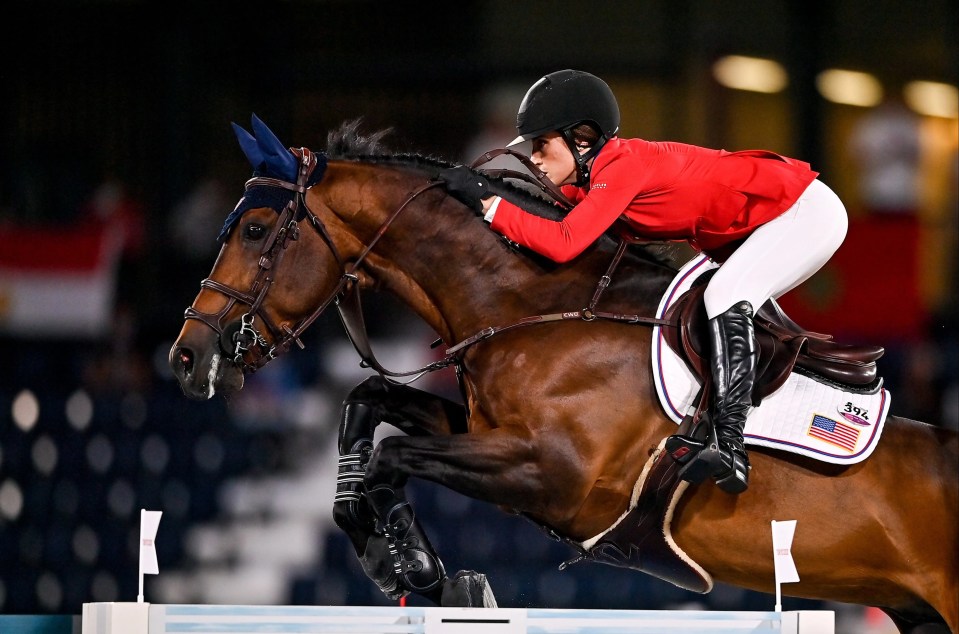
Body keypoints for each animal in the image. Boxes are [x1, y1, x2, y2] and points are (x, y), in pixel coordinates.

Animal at [169, 116, 956, 628]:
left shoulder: (554, 475)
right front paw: (392, 550)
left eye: (256, 231)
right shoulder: (486, 430)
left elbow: (396, 451)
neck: (531, 305)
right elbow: (367, 403)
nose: (186, 358)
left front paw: (410, 564)